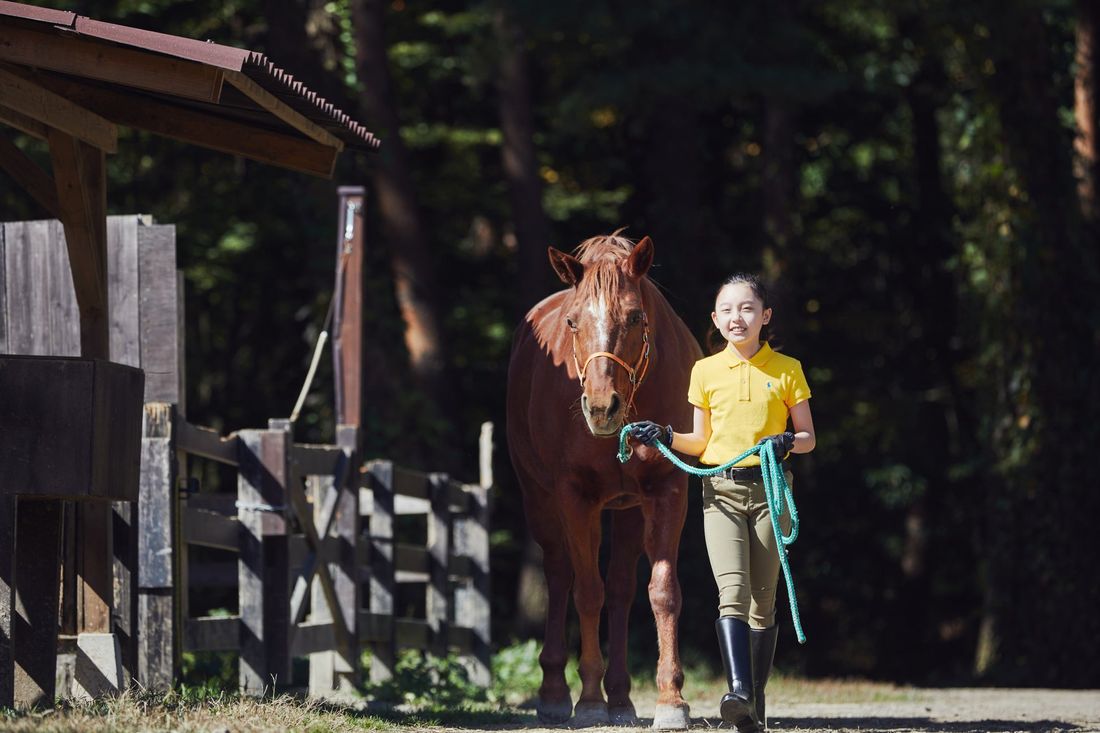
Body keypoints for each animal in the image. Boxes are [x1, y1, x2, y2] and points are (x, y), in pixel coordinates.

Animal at [503, 232, 695, 726]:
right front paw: (588, 700)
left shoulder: (667, 491)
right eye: (573, 321)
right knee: (559, 575)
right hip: (540, 500)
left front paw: (671, 700)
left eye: (636, 317)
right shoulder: (576, 496)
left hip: (627, 511)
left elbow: (662, 592)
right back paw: (555, 692)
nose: (602, 407)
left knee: (623, 589)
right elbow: (587, 592)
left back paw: (622, 698)